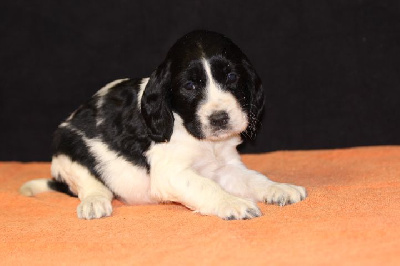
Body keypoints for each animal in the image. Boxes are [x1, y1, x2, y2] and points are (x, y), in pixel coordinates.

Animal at [20, 29, 306, 220]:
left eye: (232, 77)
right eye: (189, 86)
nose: (219, 118)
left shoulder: (225, 166)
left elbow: (253, 178)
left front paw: (279, 188)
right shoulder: (171, 173)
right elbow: (206, 186)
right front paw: (233, 203)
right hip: (68, 149)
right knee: (88, 183)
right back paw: (95, 202)